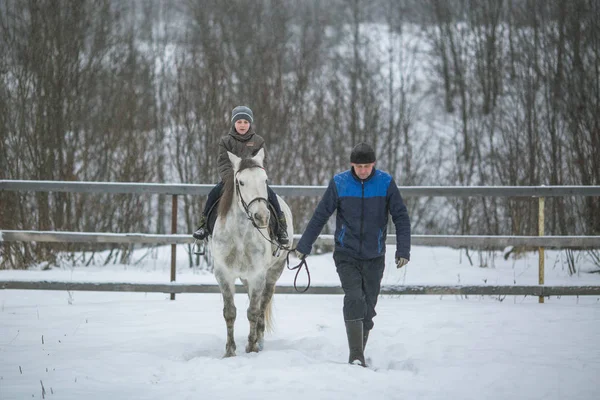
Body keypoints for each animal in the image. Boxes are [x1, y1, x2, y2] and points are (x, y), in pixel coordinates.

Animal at [210, 149, 294, 356]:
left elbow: (254, 311)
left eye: (265, 180)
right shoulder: (224, 274)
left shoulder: (258, 276)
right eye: (241, 182)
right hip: (245, 277)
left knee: (262, 305)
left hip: (272, 274)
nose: (261, 216)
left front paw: (252, 347)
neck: (240, 236)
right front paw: (230, 351)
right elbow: (230, 312)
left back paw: (260, 340)